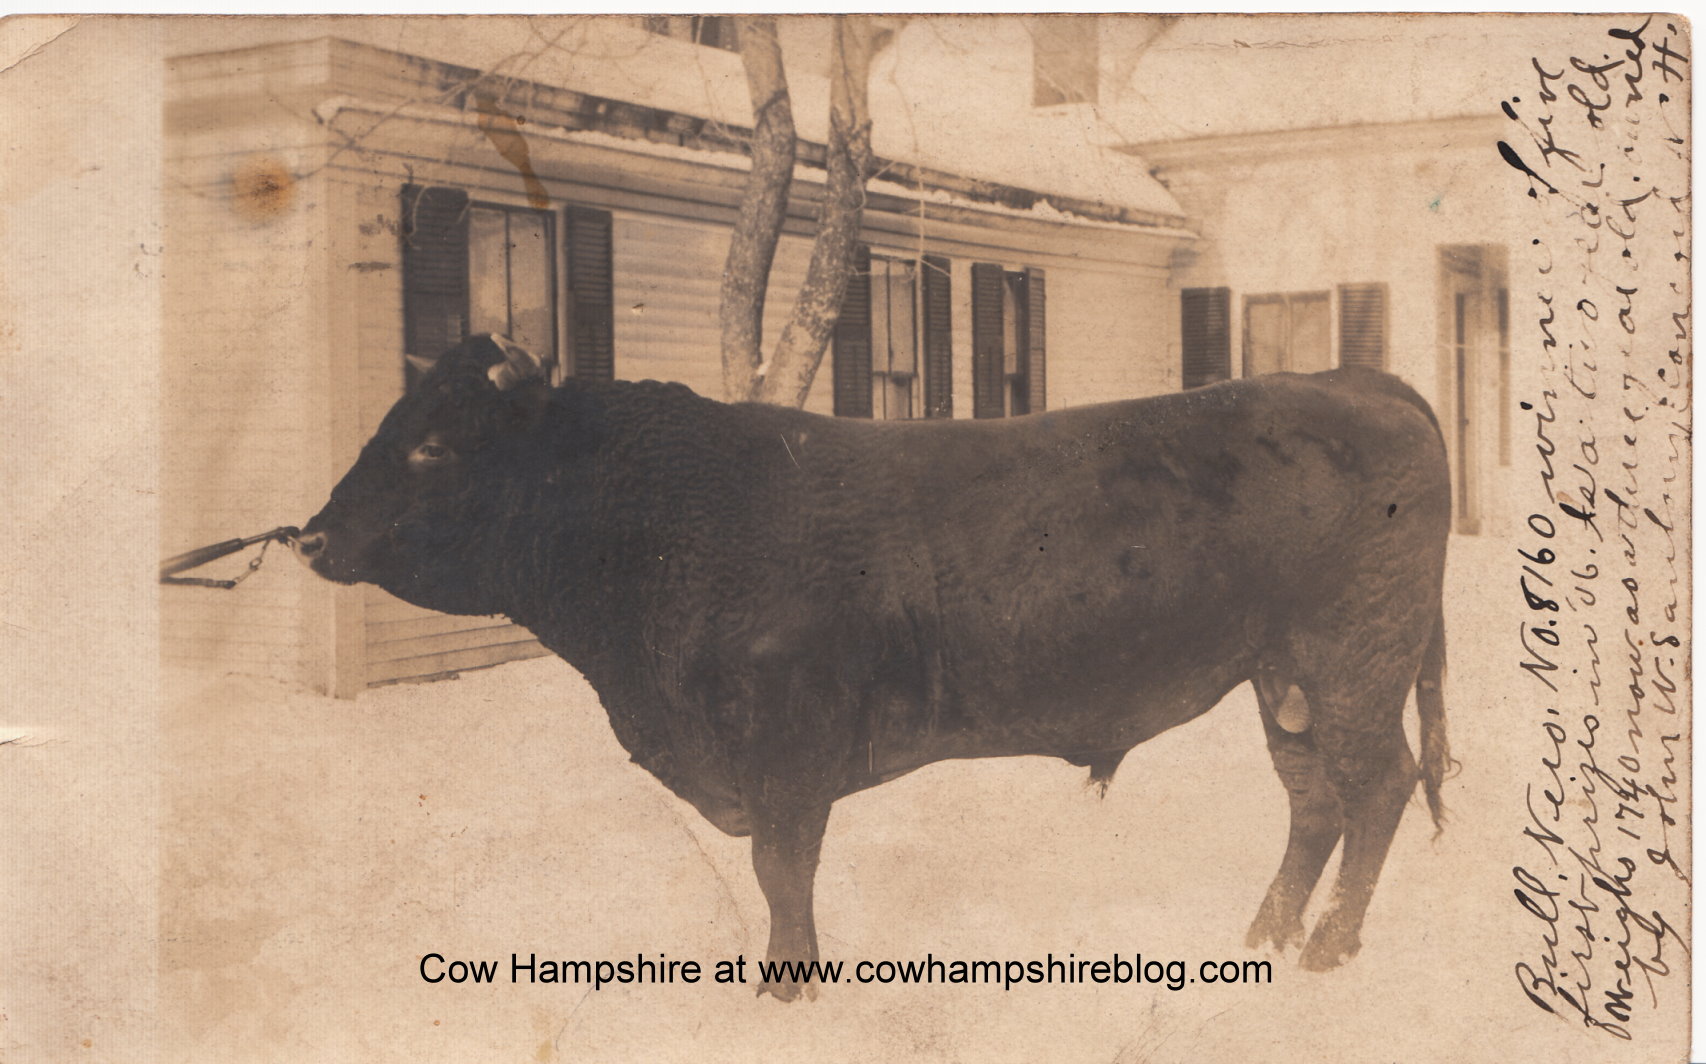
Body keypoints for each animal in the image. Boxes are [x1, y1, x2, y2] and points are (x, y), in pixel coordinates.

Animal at [296, 333, 1454, 999]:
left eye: (433, 445)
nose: (311, 536)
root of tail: (1349, 378)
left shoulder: (786, 748)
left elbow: (781, 869)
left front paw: (787, 991)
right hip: (1282, 679)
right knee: (1315, 802)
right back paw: (1262, 939)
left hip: (1350, 661)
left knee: (1379, 788)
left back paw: (1325, 947)